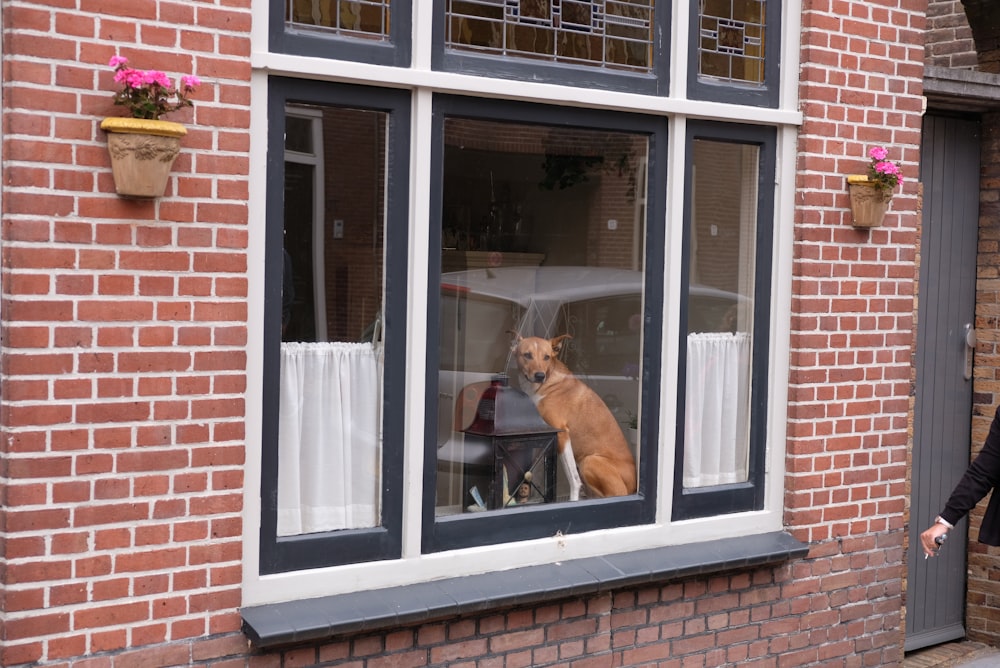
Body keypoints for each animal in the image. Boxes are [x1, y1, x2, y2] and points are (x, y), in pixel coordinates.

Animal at [512, 334, 636, 500]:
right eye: (527, 355)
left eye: (546, 357)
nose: (540, 376)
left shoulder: (562, 434)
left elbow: (574, 480)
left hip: (590, 460)